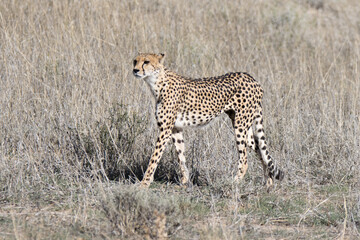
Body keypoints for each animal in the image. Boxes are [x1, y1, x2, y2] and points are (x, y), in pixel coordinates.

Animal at [133, 53, 284, 188]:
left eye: (146, 61)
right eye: (135, 61)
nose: (135, 70)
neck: (156, 81)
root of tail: (252, 79)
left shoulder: (165, 130)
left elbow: (154, 158)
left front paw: (144, 183)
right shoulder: (176, 128)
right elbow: (181, 156)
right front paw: (185, 181)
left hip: (240, 125)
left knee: (244, 159)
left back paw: (234, 183)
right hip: (242, 123)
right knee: (259, 148)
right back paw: (269, 183)